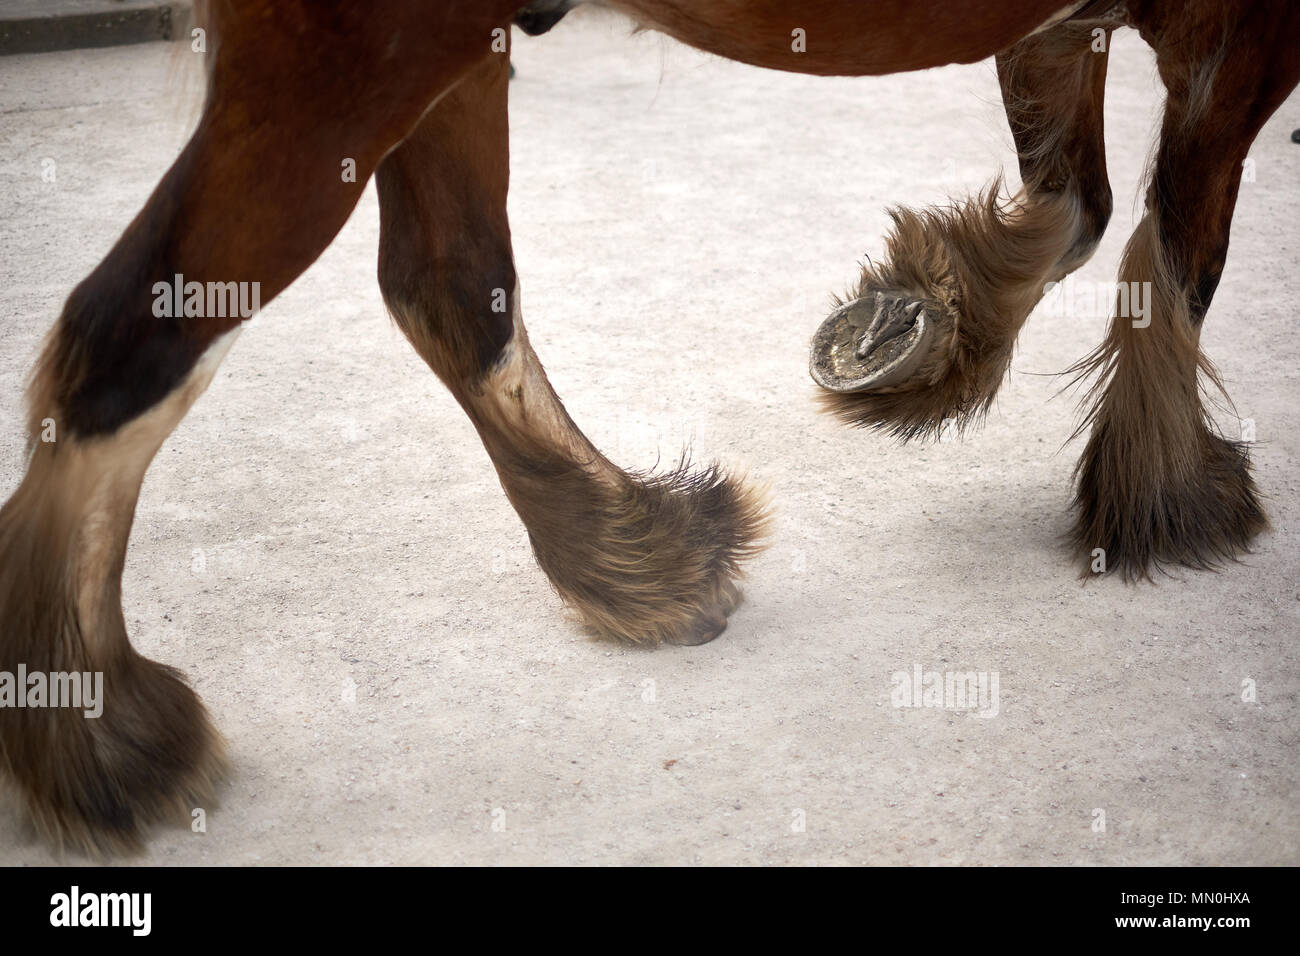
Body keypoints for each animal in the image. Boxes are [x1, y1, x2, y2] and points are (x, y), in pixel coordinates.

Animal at [0, 0, 1295, 854]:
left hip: (435, 61)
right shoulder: (1233, 32)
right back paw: (100, 729)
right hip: (352, 61)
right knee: (130, 343)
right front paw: (1167, 493)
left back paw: (636, 549)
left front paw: (916, 328)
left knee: (448, 287)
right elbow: (1175, 246)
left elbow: (1077, 199)